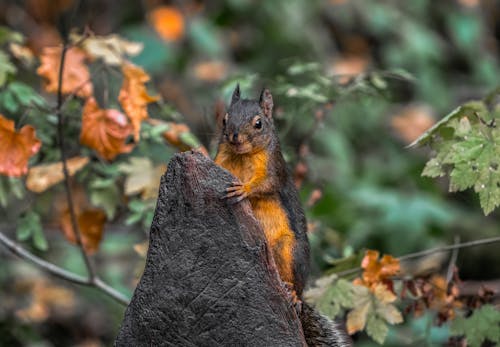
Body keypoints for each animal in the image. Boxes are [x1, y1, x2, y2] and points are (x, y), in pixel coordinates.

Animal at [215, 85, 352, 347]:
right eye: (225, 119)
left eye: (258, 123)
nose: (234, 137)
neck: (242, 155)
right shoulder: (221, 160)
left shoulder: (274, 168)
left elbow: (266, 184)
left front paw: (244, 189)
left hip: (289, 250)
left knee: (295, 284)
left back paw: (292, 293)